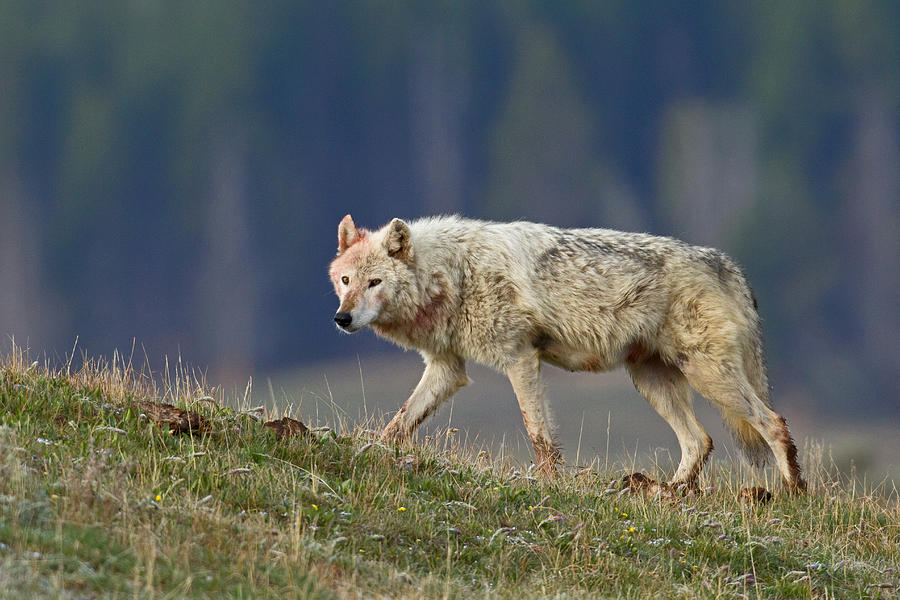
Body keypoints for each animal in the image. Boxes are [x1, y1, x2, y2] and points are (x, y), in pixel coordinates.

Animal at [330, 216, 808, 492]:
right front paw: (368, 453)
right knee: (700, 441)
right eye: (346, 280)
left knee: (773, 423)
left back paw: (792, 495)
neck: (453, 273)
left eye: (374, 283)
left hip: (709, 377)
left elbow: (539, 436)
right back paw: (669, 495)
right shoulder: (447, 369)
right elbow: (397, 424)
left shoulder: (520, 358)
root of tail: (725, 263)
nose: (341, 318)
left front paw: (548, 485)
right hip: (652, 382)